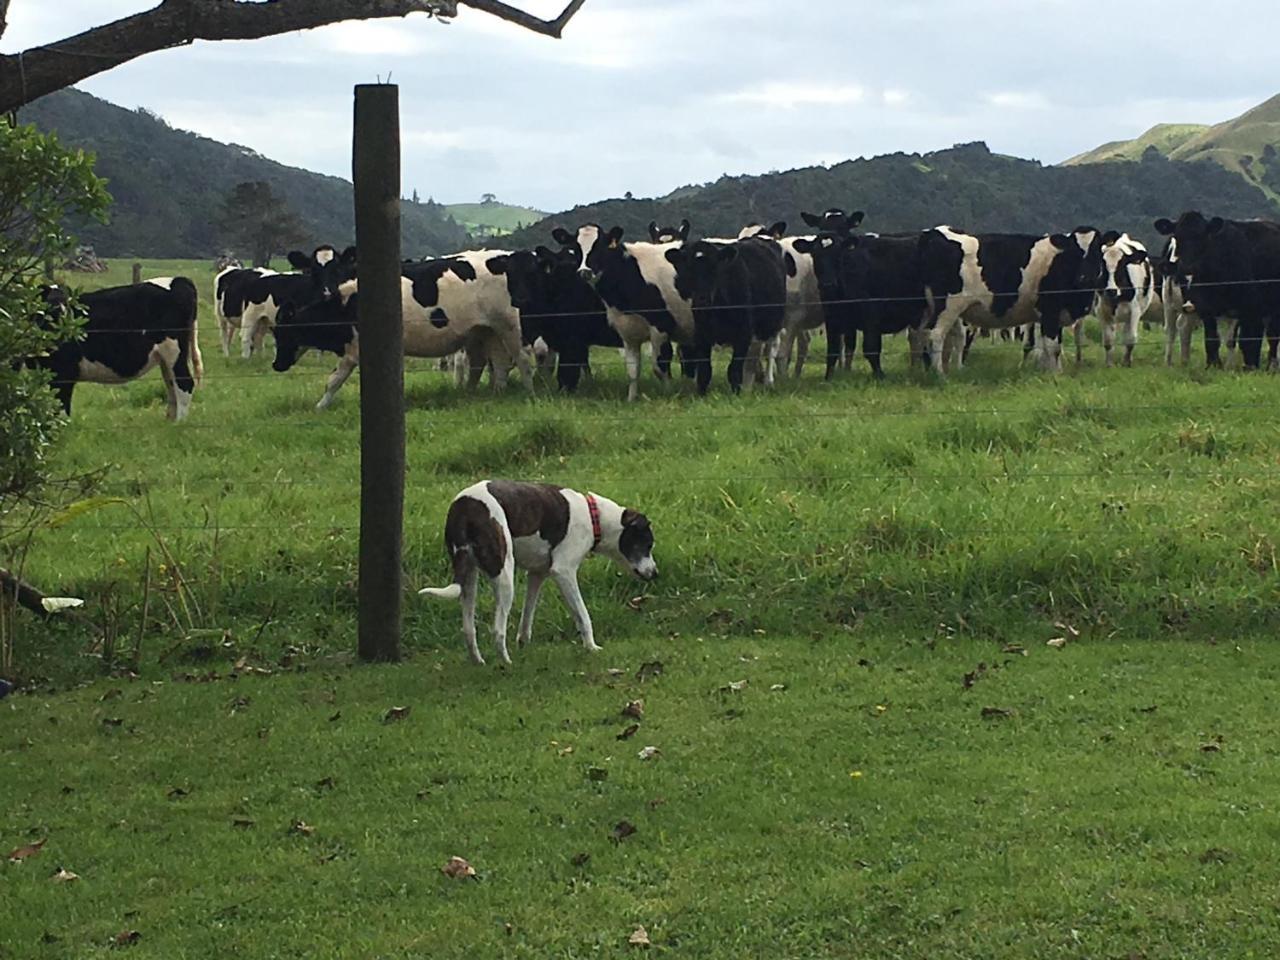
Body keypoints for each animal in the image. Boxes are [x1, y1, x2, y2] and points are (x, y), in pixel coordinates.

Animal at [34, 272, 202, 419]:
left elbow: (60, 408)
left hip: (175, 351)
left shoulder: (64, 372)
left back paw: (179, 424)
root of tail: (178, 280)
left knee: (184, 384)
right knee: (172, 386)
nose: (67, 327)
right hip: (165, 359)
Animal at [272, 252, 532, 409]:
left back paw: (528, 392)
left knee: (522, 360)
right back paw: (492, 392)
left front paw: (320, 406)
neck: (346, 304)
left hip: (510, 327)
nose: (276, 365)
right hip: (487, 331)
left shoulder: (353, 350)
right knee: (496, 363)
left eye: (283, 334)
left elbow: (334, 380)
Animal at [422, 483, 660, 665]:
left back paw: (479, 661)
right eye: (647, 544)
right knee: (498, 630)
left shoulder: (537, 574)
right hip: (504, 574)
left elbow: (528, 615)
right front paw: (591, 647)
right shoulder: (564, 572)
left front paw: (524, 643)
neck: (594, 518)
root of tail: (463, 508)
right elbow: (582, 615)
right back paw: (507, 663)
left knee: (468, 628)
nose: (655, 574)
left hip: (469, 579)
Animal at [916, 227, 1105, 373]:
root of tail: (933, 234)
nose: (1084, 277)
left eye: (1097, 250)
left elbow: (1052, 346)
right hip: (948, 306)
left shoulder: (1055, 316)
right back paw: (940, 375)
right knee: (935, 335)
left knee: (929, 335)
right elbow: (1052, 347)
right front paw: (1054, 375)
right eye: (1075, 251)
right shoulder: (1050, 311)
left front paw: (1052, 371)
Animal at [1152, 212, 1280, 371]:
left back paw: (1271, 365)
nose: (1186, 266)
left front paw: (1249, 366)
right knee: (1174, 329)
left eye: (1202, 237)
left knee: (1272, 335)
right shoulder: (1205, 308)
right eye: (1177, 236)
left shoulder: (1249, 307)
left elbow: (1248, 339)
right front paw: (1213, 365)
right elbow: (1212, 338)